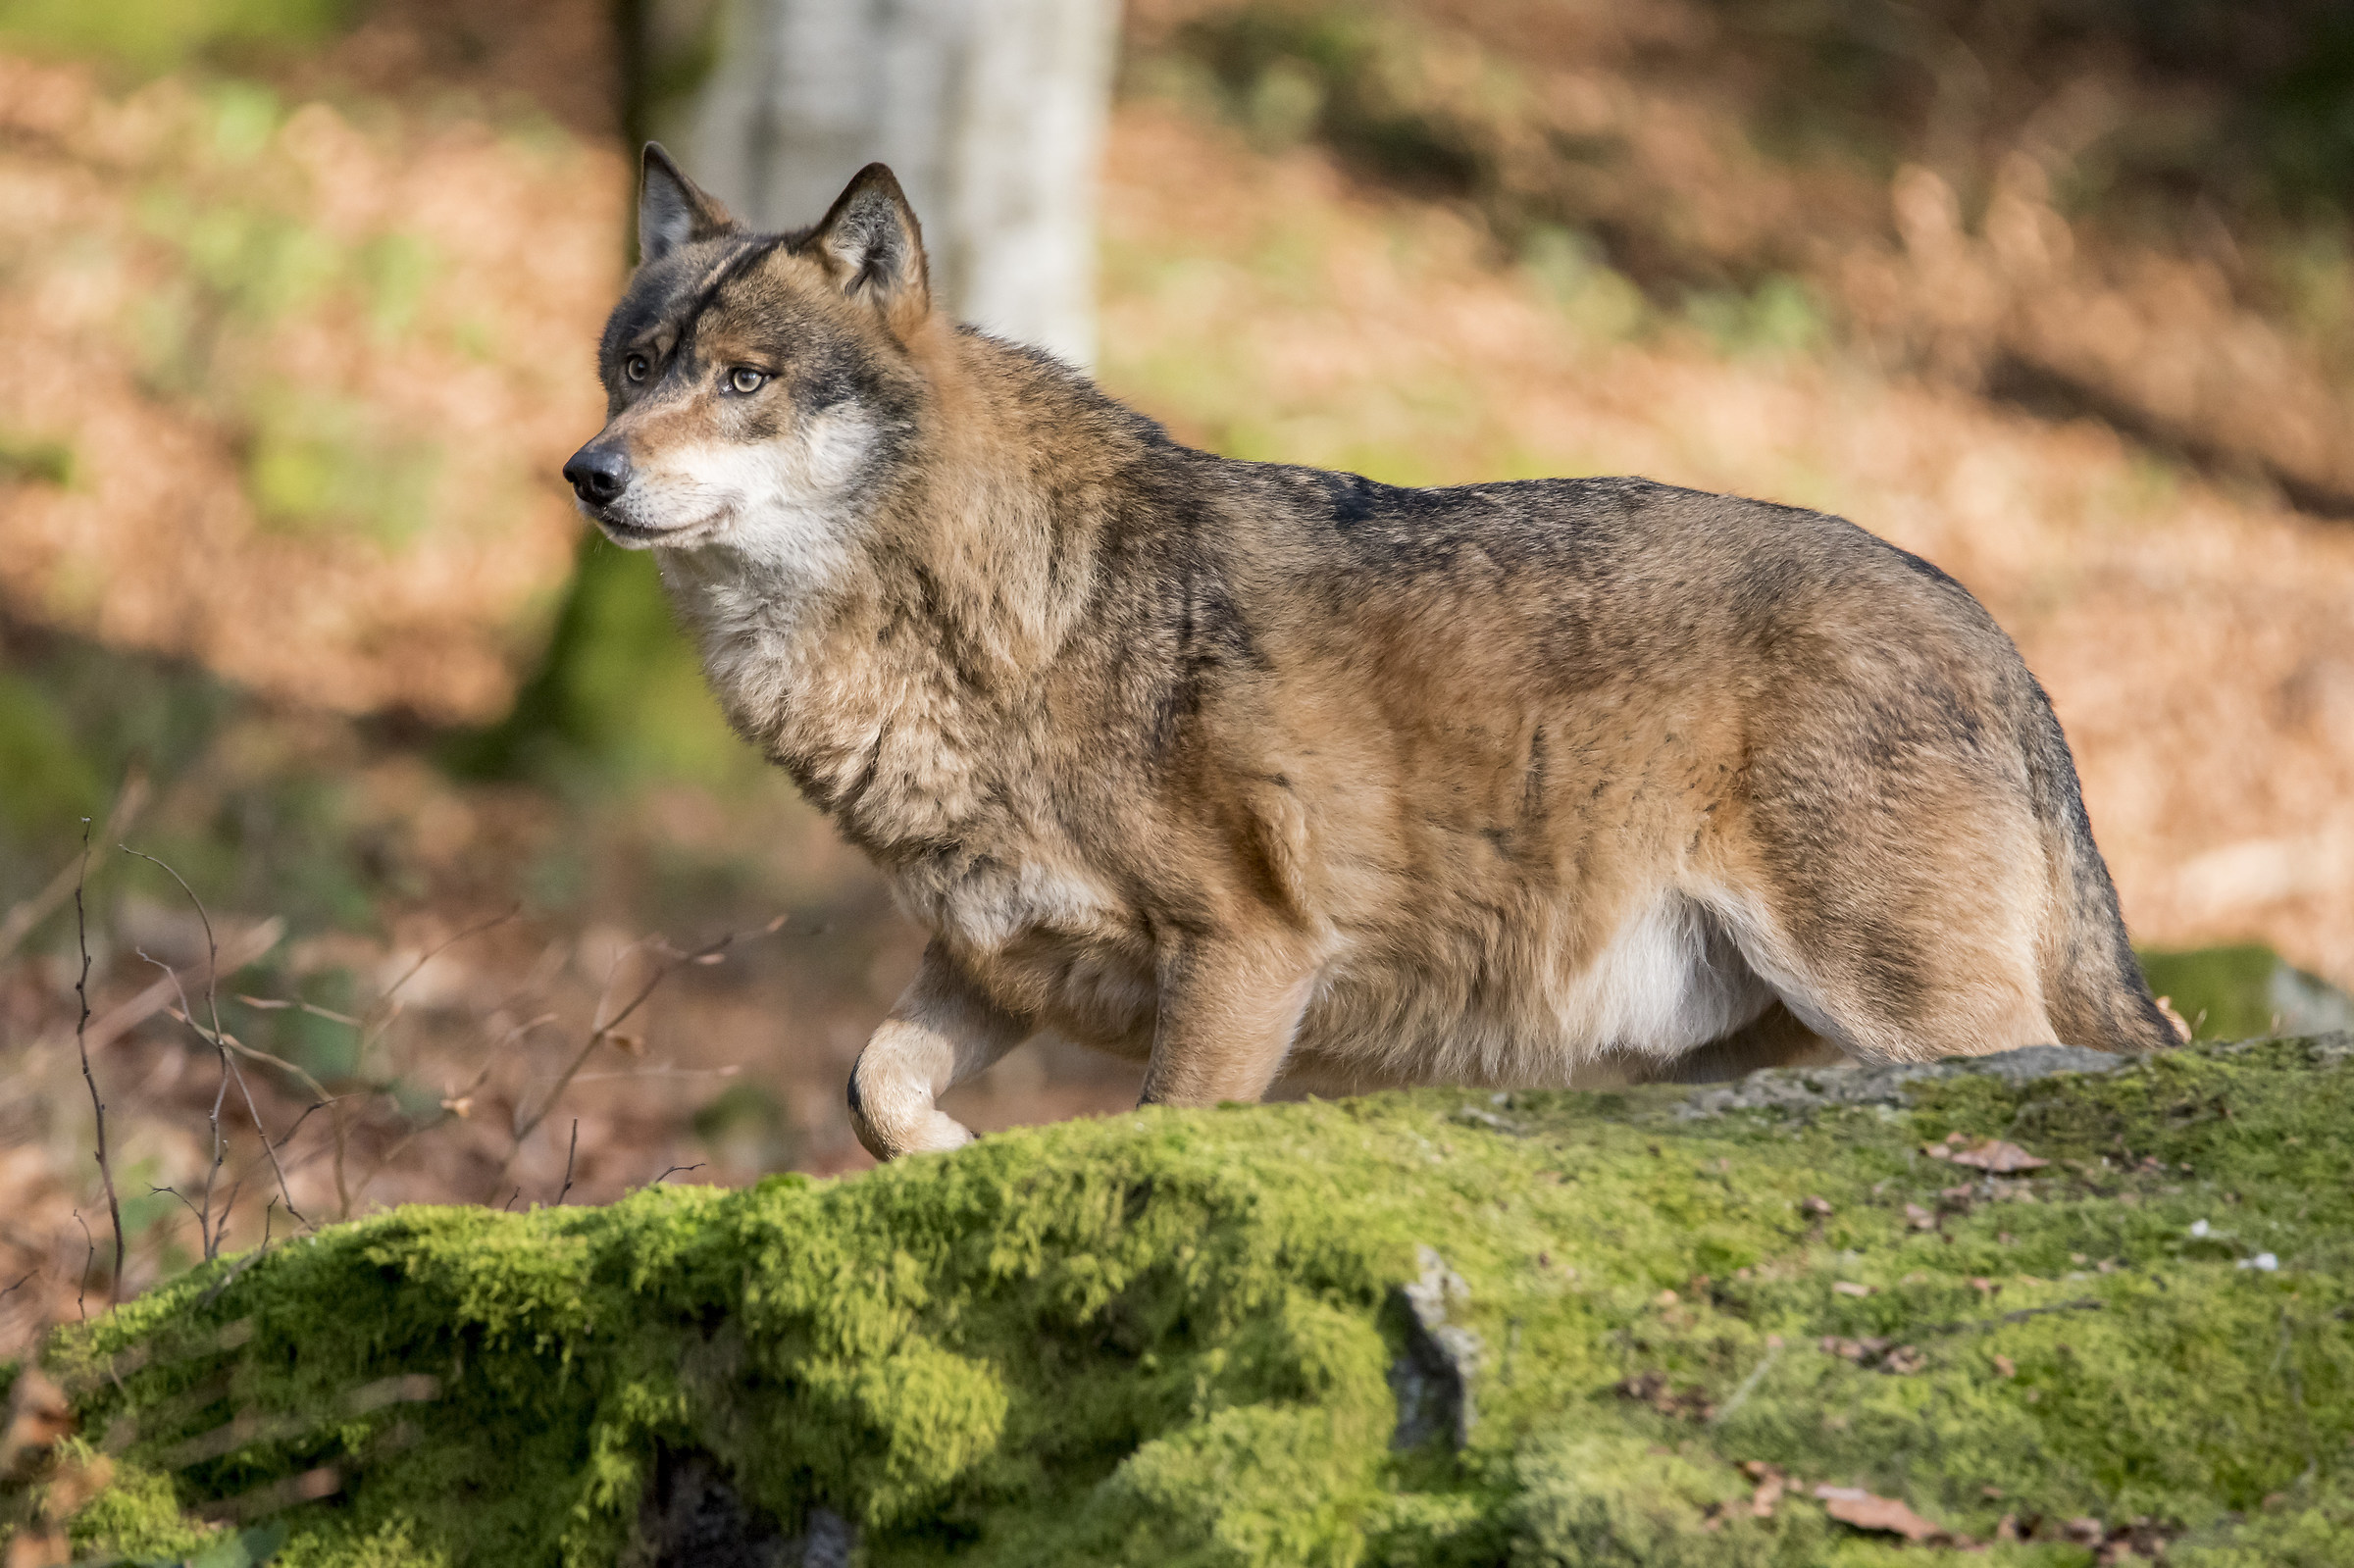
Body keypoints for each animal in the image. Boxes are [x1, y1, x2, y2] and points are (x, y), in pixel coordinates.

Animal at [562, 147, 2177, 1160]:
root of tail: (1987, 626)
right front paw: (951, 1152)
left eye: (745, 381)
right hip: (1722, 1055)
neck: (1001, 625)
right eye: (631, 369)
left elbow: (1161, 1132)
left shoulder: (1246, 959)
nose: (586, 471)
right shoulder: (992, 963)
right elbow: (868, 1084)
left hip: (1910, 1011)